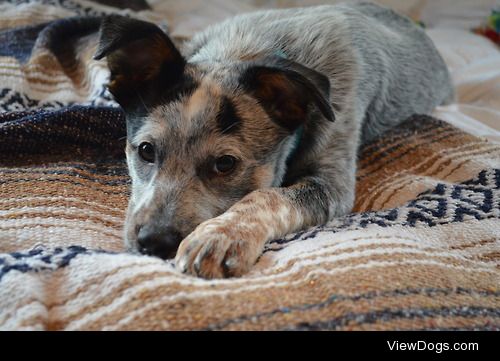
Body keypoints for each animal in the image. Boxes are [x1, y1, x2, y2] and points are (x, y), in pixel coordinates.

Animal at [94, 1, 454, 278]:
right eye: (146, 150)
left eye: (225, 164)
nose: (153, 243)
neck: (249, 52)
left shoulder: (332, 183)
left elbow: (268, 196)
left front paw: (220, 236)